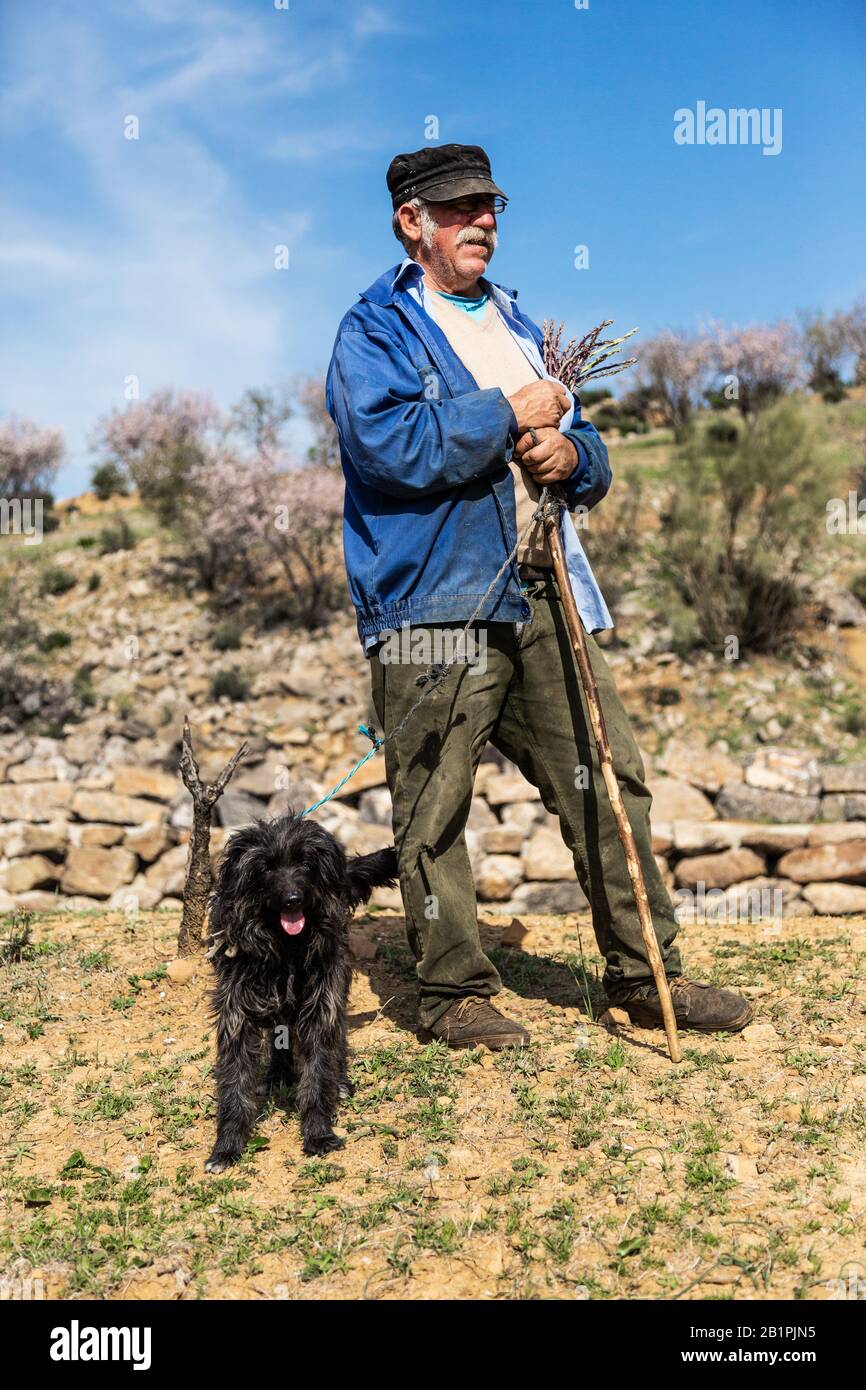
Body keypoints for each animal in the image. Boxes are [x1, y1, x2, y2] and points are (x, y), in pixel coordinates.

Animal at [204, 811, 397, 1167]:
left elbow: (318, 1070)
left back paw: (340, 1080)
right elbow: (235, 1081)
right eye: (265, 867)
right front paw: (227, 1145)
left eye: (305, 863)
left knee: (336, 1038)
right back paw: (277, 1075)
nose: (293, 898)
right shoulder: (237, 1011)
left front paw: (318, 1133)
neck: (285, 946)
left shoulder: (321, 1002)